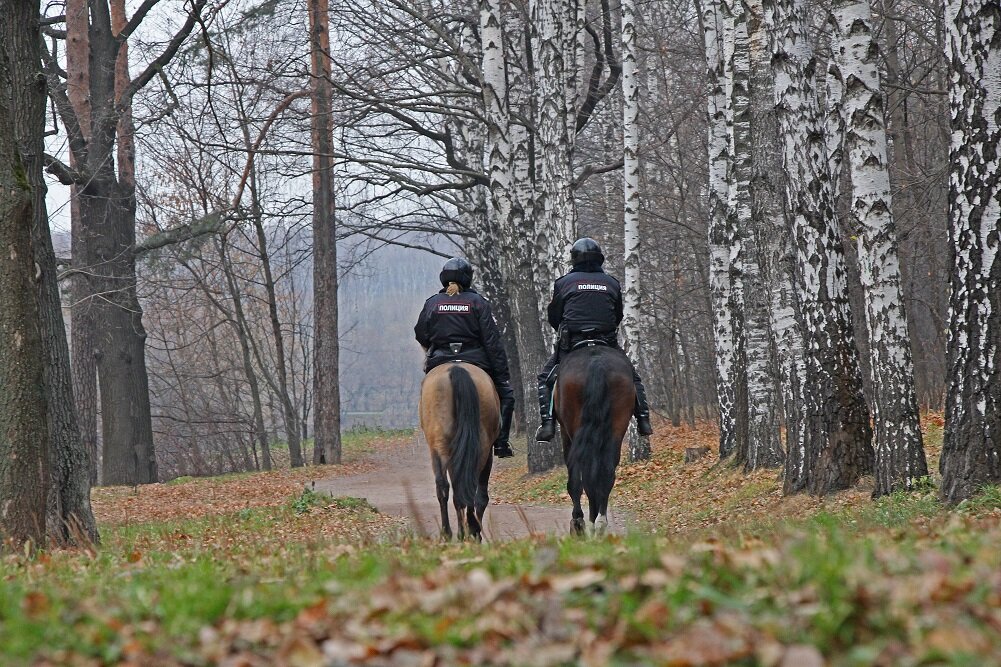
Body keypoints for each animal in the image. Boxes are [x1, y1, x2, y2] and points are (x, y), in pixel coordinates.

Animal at [416, 360, 498, 536]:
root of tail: (457, 368)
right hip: (478, 448)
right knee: (466, 486)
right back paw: (469, 531)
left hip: (440, 447)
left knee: (444, 486)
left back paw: (449, 533)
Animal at [552, 344, 636, 532]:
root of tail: (596, 363)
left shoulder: (566, 433)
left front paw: (578, 521)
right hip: (617, 427)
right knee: (605, 473)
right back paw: (600, 523)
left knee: (582, 477)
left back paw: (585, 524)